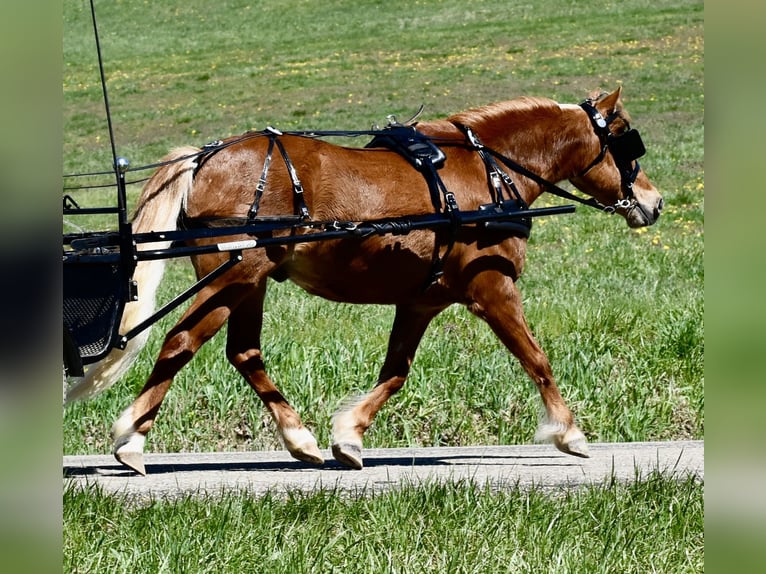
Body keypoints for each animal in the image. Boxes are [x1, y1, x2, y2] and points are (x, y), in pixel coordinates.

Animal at [65, 87, 663, 475]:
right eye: (627, 142)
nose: (654, 203)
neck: (489, 172)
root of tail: (206, 156)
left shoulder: (422, 301)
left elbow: (396, 371)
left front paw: (348, 436)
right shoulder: (491, 287)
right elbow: (536, 357)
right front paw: (569, 432)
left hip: (249, 281)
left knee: (243, 352)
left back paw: (300, 440)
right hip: (233, 273)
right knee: (181, 340)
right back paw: (130, 441)